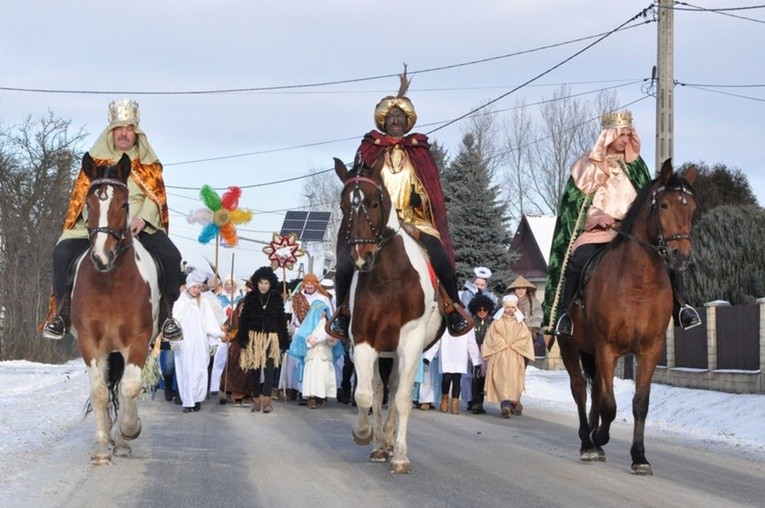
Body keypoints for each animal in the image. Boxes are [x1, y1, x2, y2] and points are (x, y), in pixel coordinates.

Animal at [71, 153, 159, 466]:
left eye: (124, 204)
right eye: (88, 204)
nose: (101, 256)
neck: (110, 283)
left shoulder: (138, 341)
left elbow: (129, 388)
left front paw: (129, 431)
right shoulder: (89, 342)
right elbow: (99, 392)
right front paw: (101, 447)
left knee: (122, 389)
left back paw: (120, 440)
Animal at [334, 157, 442, 474]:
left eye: (373, 202)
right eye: (344, 206)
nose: (362, 257)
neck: (388, 279)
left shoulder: (411, 341)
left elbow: (403, 398)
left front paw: (401, 456)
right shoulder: (363, 340)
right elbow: (365, 394)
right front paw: (364, 434)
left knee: (394, 391)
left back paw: (392, 445)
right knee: (381, 390)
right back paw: (381, 445)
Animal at [560, 157, 696, 474]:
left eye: (692, 208)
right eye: (664, 205)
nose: (681, 255)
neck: (638, 284)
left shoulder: (650, 350)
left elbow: (640, 403)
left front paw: (640, 457)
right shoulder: (606, 348)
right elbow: (609, 405)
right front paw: (599, 437)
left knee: (596, 390)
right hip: (570, 346)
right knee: (579, 389)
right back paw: (588, 442)